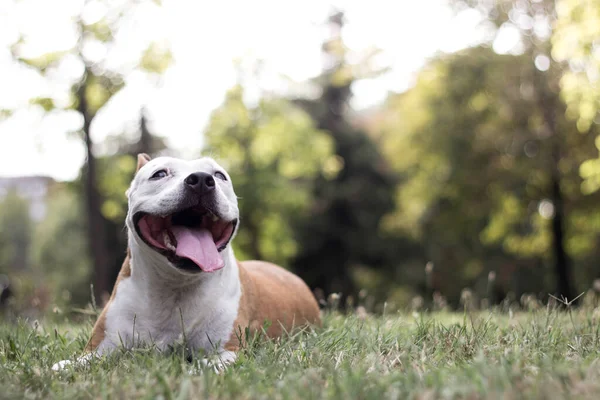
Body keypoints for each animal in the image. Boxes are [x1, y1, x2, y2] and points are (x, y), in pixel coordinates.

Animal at [54, 154, 322, 372]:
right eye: (159, 174)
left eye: (219, 175)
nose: (202, 179)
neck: (174, 286)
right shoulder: (99, 348)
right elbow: (63, 366)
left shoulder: (227, 352)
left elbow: (201, 368)